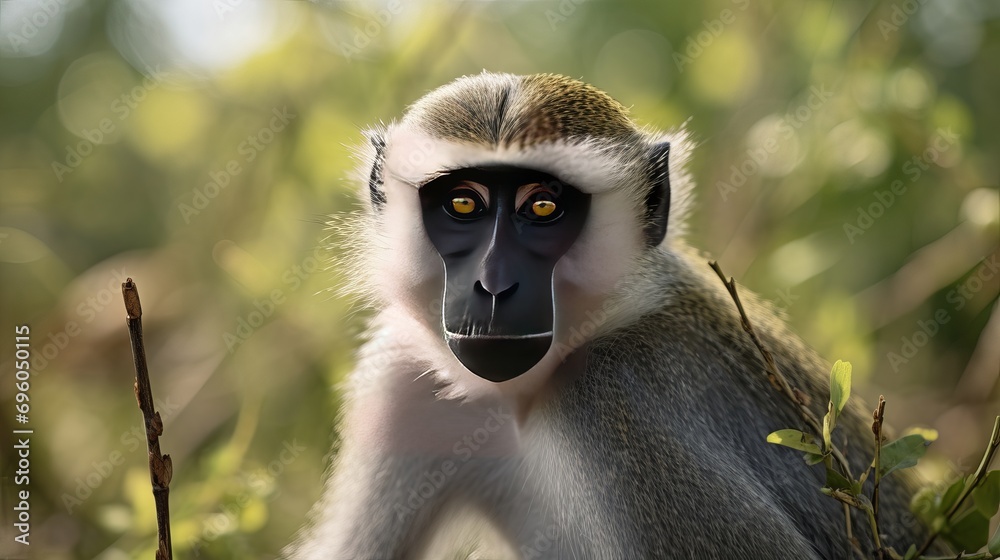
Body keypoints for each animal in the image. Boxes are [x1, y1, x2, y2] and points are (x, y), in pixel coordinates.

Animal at [284, 72, 927, 559]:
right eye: (463, 204)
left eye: (543, 207)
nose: (493, 284)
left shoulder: (610, 399)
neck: (526, 400)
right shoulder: (403, 385)